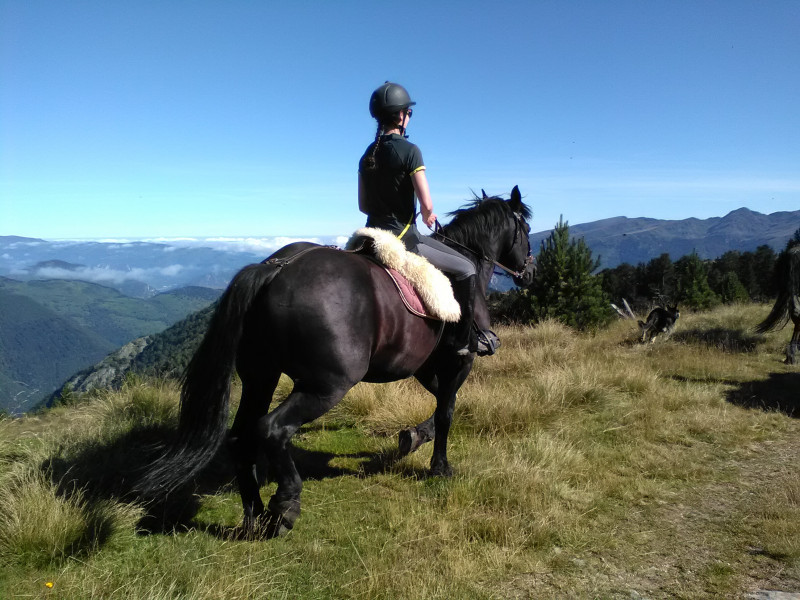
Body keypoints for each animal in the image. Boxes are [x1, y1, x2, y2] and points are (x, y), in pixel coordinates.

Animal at [137, 186, 535, 538]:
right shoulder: (458, 362)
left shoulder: (422, 366)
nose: (529, 271)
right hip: (326, 385)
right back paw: (284, 507)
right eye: (527, 231)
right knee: (272, 429)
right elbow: (448, 409)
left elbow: (440, 403)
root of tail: (277, 268)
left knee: (240, 436)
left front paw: (413, 437)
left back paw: (255, 514)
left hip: (260, 376)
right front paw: (440, 467)